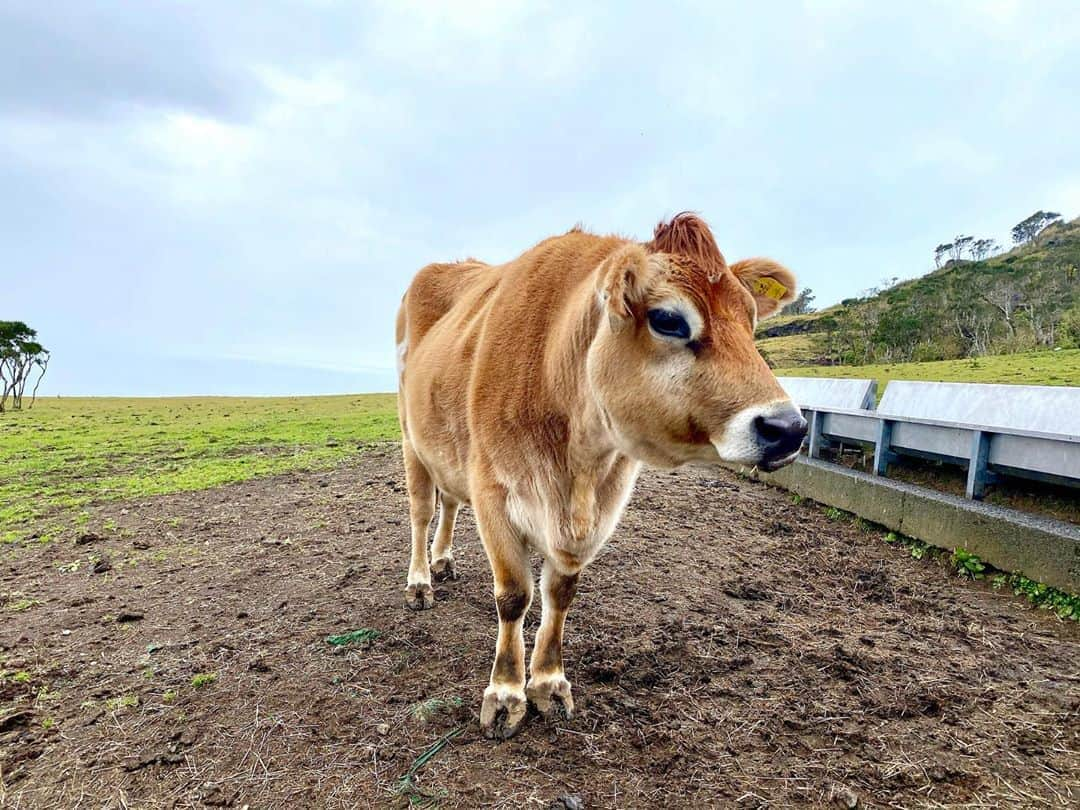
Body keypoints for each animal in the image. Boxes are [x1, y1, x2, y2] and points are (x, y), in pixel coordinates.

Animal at [393, 213, 807, 743]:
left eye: (751, 319)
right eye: (668, 319)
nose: (788, 428)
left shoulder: (600, 508)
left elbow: (560, 593)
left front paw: (548, 683)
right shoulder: (493, 492)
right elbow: (514, 596)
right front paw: (505, 694)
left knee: (448, 502)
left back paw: (443, 560)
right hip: (412, 439)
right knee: (423, 512)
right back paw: (421, 581)